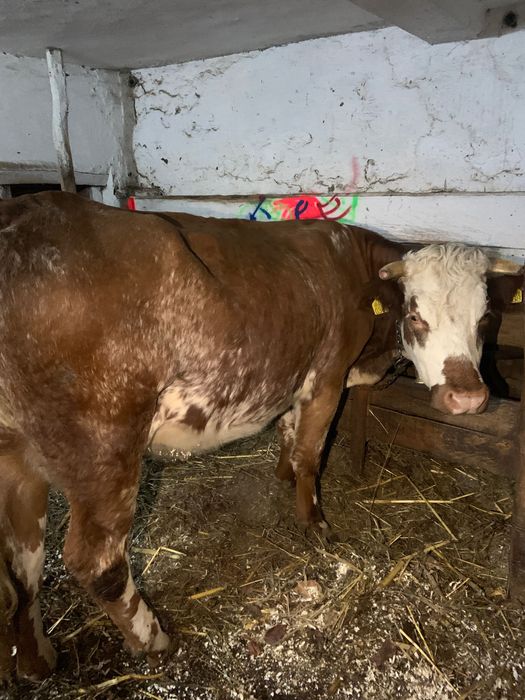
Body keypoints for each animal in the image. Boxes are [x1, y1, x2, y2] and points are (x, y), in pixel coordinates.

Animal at [0, 191, 521, 682]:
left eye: (484, 318)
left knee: (21, 558)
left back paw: (37, 658)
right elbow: (312, 451)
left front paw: (282, 473)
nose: (468, 398)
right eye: (415, 315)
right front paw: (315, 523)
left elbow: (290, 431)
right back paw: (154, 639)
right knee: (97, 560)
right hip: (106, 445)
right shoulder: (327, 376)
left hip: (17, 455)